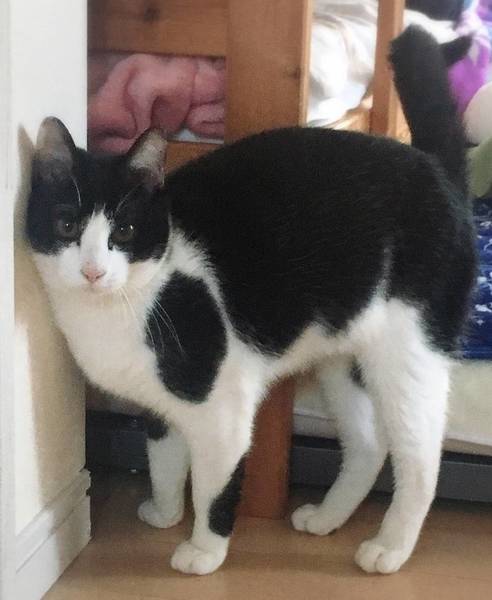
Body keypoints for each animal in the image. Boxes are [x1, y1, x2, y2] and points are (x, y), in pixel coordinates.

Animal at [26, 27, 475, 576]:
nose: (92, 271)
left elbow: (215, 488)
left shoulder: (223, 411)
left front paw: (204, 550)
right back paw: (326, 518)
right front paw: (165, 512)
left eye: (124, 232)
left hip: (410, 353)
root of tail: (437, 170)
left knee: (420, 456)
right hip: (342, 359)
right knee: (369, 444)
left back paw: (390, 547)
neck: (127, 307)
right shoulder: (158, 403)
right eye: (67, 225)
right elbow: (163, 458)